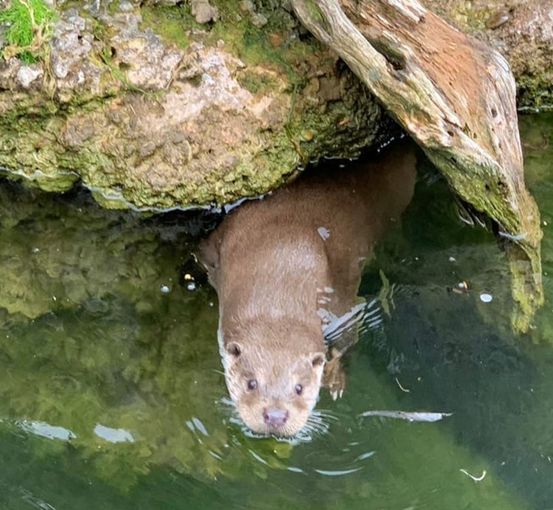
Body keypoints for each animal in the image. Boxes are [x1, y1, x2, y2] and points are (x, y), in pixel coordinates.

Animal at [196, 141, 416, 436]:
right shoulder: (217, 251)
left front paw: (335, 377)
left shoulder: (339, 301)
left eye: (299, 388)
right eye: (251, 383)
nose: (276, 415)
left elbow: (348, 334)